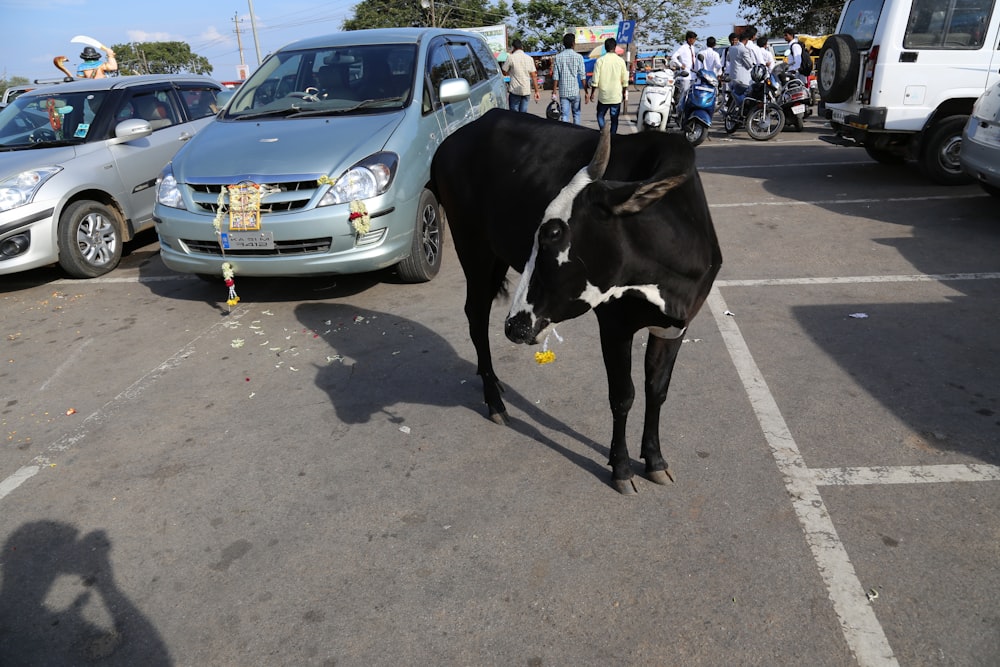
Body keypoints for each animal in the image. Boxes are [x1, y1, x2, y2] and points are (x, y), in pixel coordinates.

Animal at [430, 109, 720, 494]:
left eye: (553, 233)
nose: (515, 326)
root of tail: (451, 141)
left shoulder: (676, 325)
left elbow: (656, 390)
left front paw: (655, 460)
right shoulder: (614, 324)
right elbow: (623, 395)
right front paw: (621, 468)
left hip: (493, 256)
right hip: (473, 248)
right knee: (475, 316)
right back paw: (494, 401)